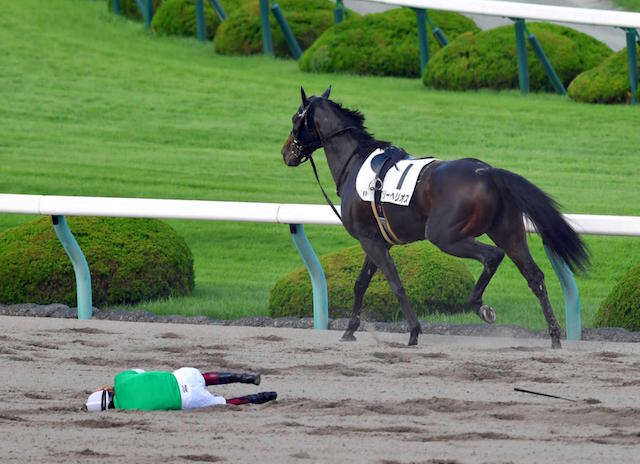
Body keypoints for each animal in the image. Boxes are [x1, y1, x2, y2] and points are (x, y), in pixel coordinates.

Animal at [280, 87, 592, 348]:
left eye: (296, 117)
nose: (286, 152)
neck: (355, 162)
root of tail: (488, 172)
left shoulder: (371, 241)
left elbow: (395, 284)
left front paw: (414, 331)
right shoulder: (376, 240)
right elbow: (360, 285)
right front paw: (349, 330)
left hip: (445, 235)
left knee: (492, 256)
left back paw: (481, 306)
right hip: (508, 232)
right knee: (534, 276)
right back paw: (554, 336)